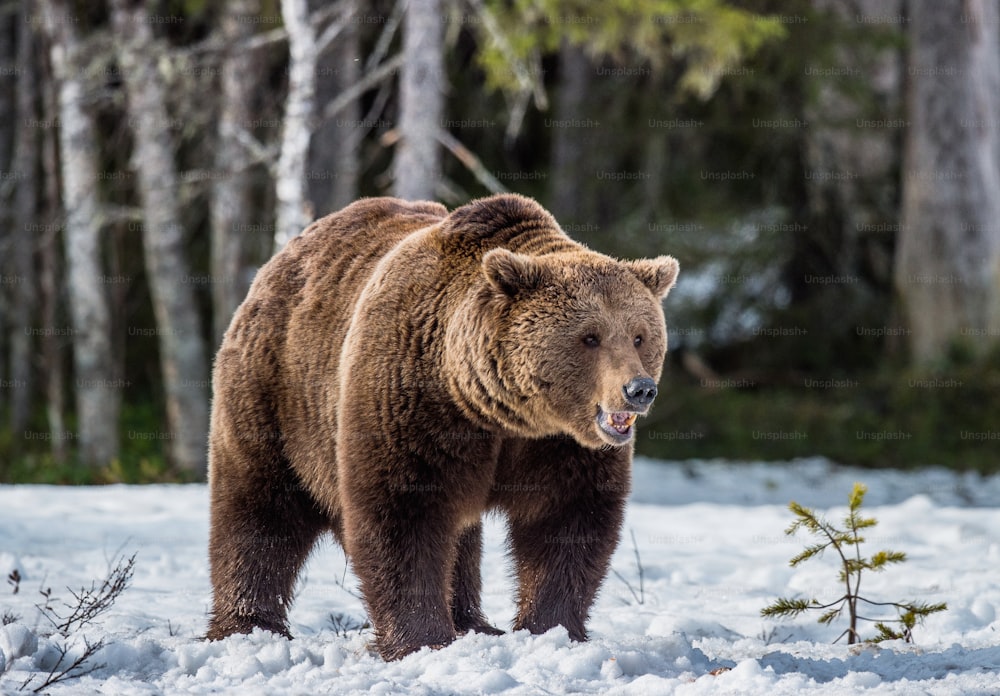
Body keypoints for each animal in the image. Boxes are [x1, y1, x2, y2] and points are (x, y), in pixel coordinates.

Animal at [208, 193, 684, 660]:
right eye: (590, 337)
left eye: (640, 336)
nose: (639, 389)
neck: (500, 411)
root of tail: (283, 257)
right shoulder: (413, 402)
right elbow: (403, 516)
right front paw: (421, 638)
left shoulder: (559, 446)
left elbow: (567, 520)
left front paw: (550, 629)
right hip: (274, 395)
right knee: (260, 509)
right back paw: (248, 625)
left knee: (461, 539)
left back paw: (473, 621)